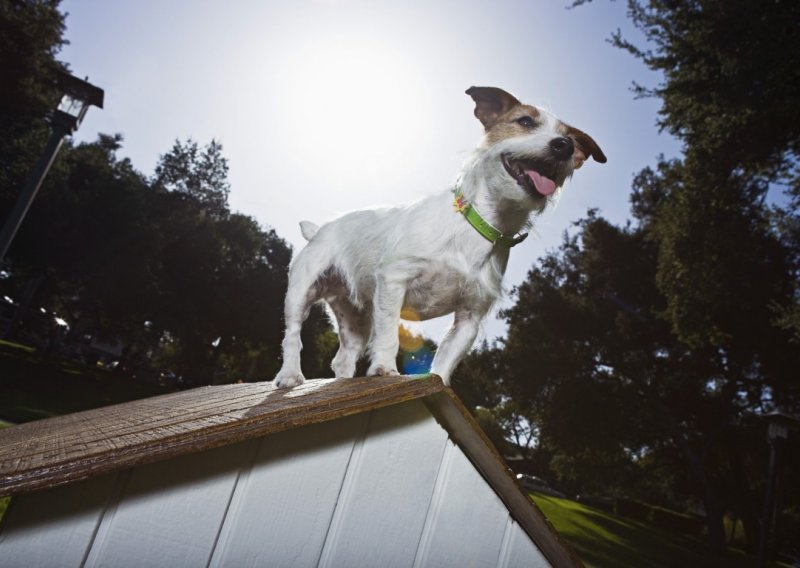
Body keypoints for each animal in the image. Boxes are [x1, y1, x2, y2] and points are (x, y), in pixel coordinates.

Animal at [272, 87, 604, 390]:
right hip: (300, 293)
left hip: (356, 316)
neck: (479, 225)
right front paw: (384, 370)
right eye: (525, 121)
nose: (564, 146)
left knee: (343, 357)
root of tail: (320, 229)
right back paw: (289, 376)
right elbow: (389, 335)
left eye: (571, 140)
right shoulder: (394, 280)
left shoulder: (470, 317)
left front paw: (437, 386)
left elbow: (445, 362)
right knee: (292, 336)